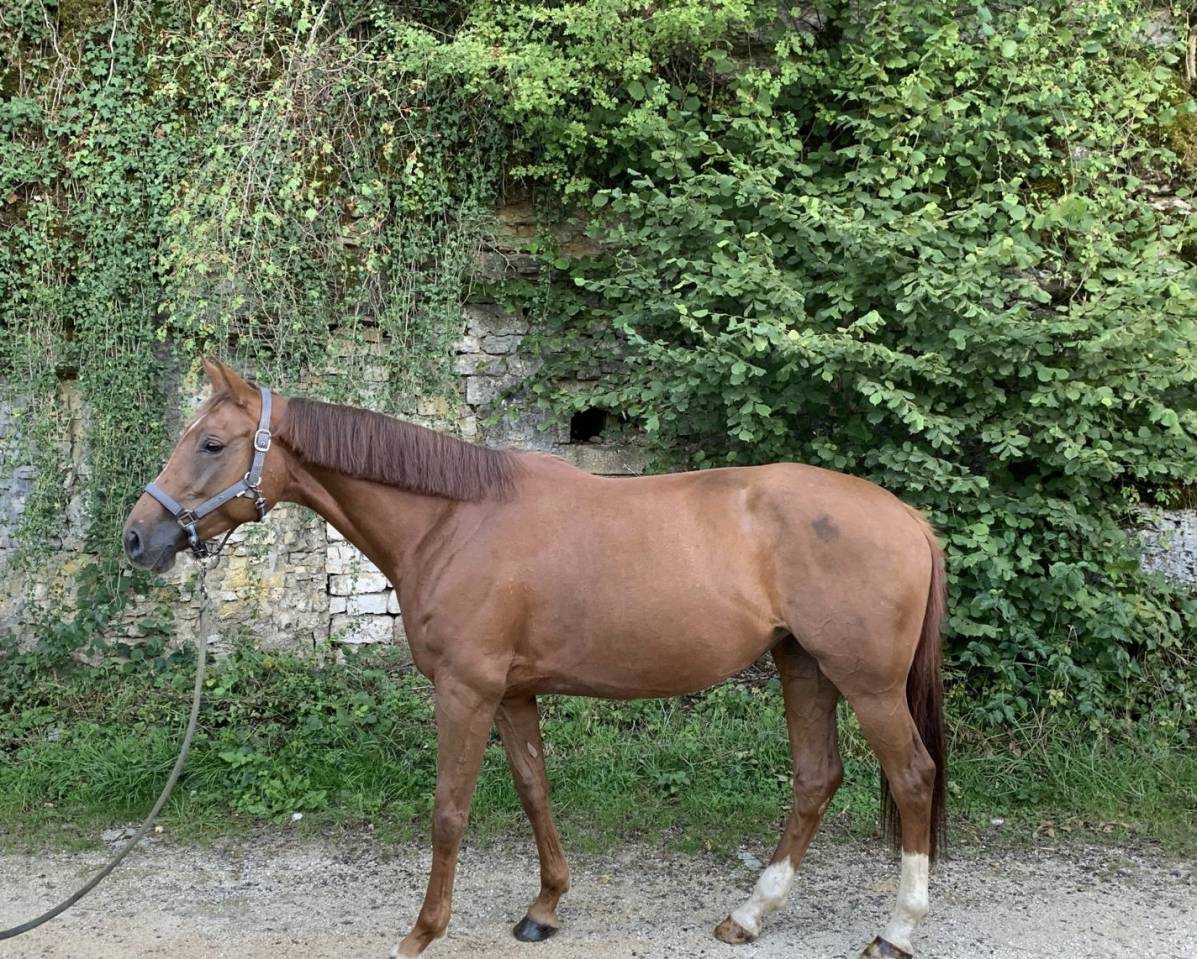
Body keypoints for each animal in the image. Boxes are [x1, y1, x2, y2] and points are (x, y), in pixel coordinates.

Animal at [123, 358, 947, 959]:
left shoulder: (465, 690)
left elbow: (448, 810)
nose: (138, 538)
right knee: (816, 778)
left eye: (210, 443)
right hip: (802, 666)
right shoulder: (512, 693)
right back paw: (749, 913)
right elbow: (533, 791)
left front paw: (422, 931)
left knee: (912, 778)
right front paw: (543, 909)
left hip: (866, 683)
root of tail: (906, 515)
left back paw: (897, 930)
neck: (454, 520)